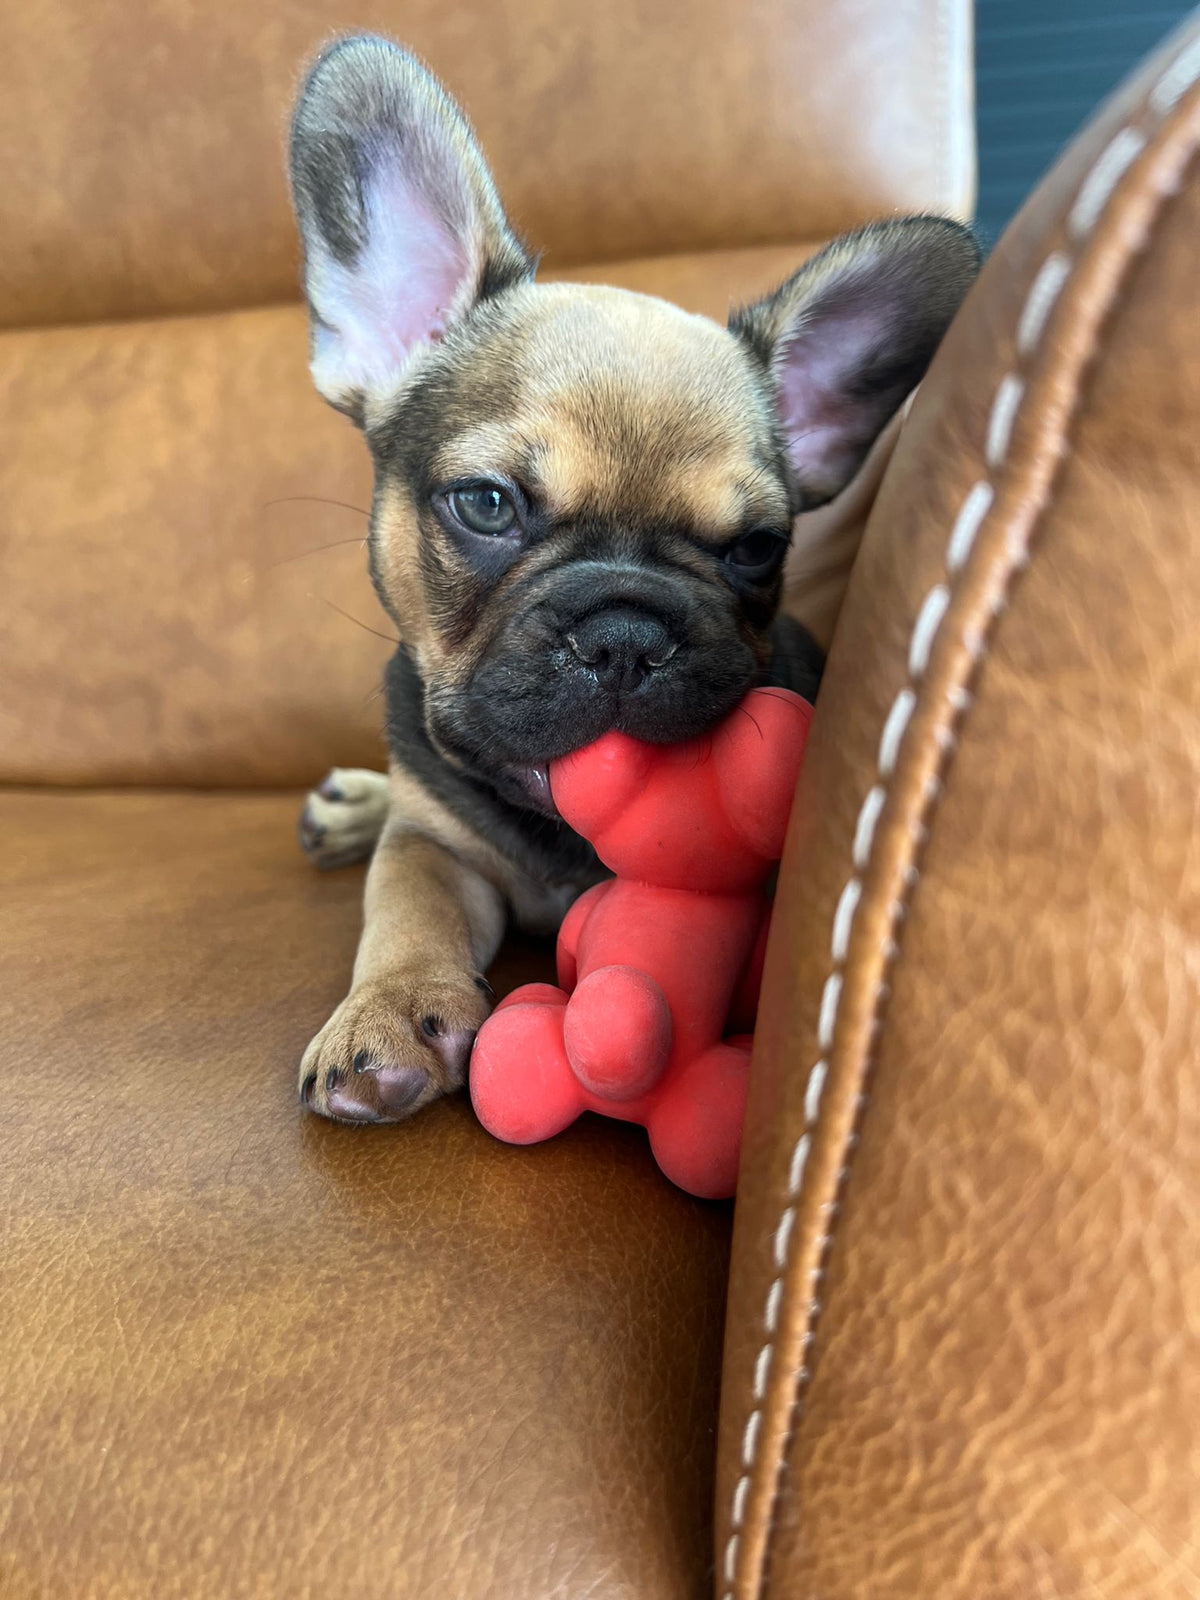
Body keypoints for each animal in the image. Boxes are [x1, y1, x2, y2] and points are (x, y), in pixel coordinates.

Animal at [289, 31, 979, 1120]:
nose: (626, 631)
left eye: (757, 548)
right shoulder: (433, 842)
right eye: (487, 503)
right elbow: (405, 904)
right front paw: (389, 1011)